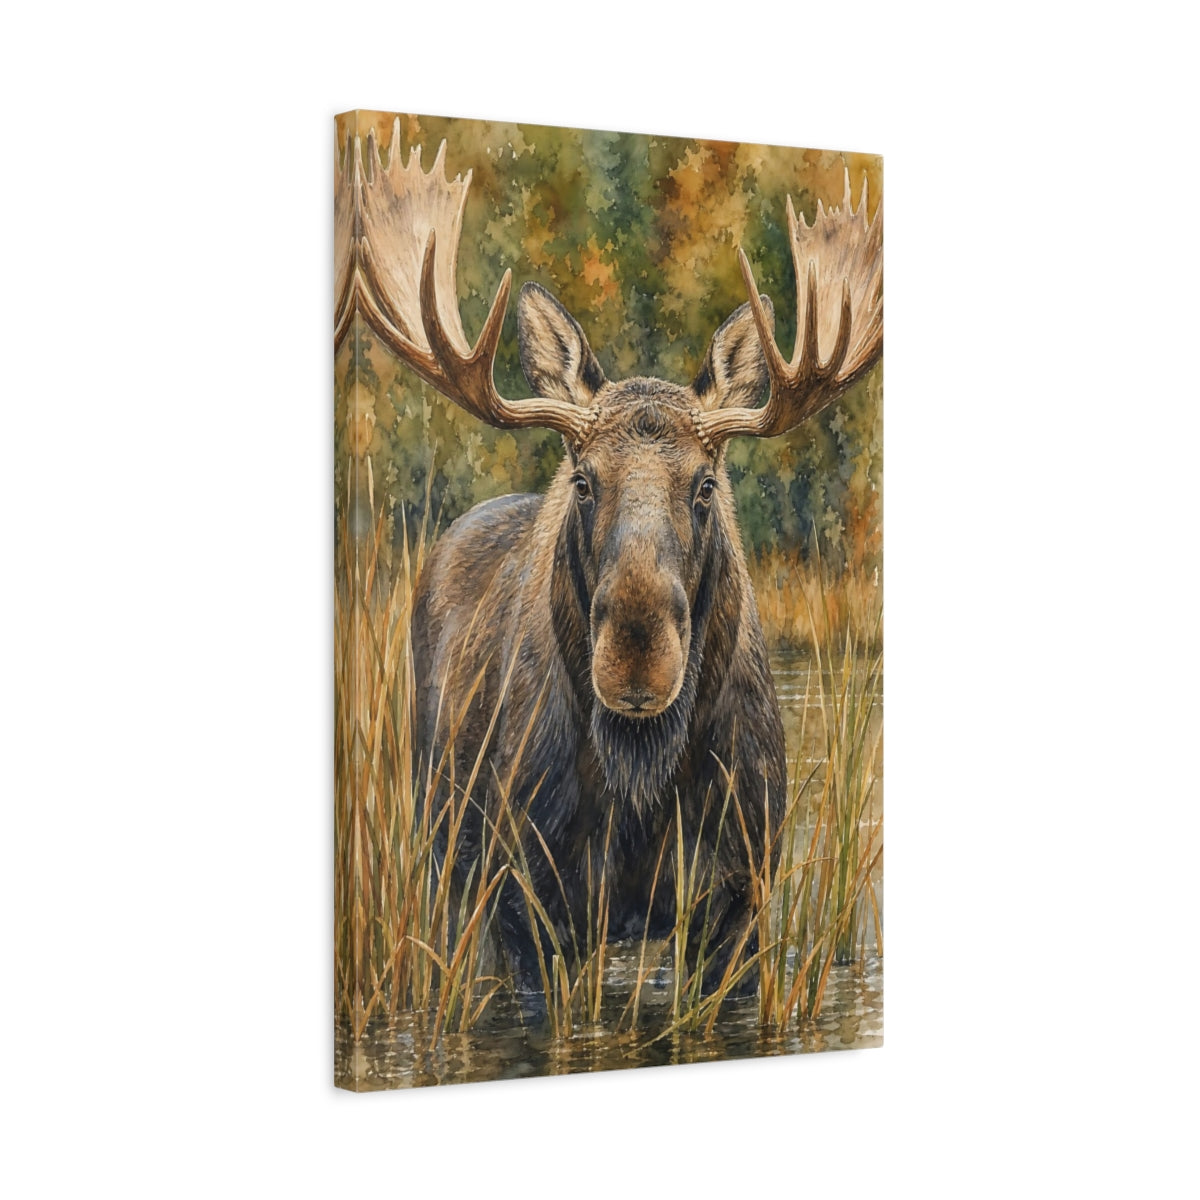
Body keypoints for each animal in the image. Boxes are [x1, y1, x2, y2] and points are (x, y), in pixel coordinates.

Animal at [335, 122, 882, 1000]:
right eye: (584, 479)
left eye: (705, 483)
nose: (634, 658)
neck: (639, 789)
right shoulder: (518, 904)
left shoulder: (740, 903)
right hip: (439, 847)